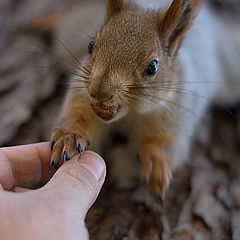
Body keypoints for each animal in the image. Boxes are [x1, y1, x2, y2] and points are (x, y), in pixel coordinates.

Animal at [49, 0, 240, 197]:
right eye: (91, 45)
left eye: (152, 67)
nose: (99, 92)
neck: (130, 113)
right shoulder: (81, 93)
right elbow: (77, 115)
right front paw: (70, 136)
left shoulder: (176, 113)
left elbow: (169, 144)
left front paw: (155, 158)